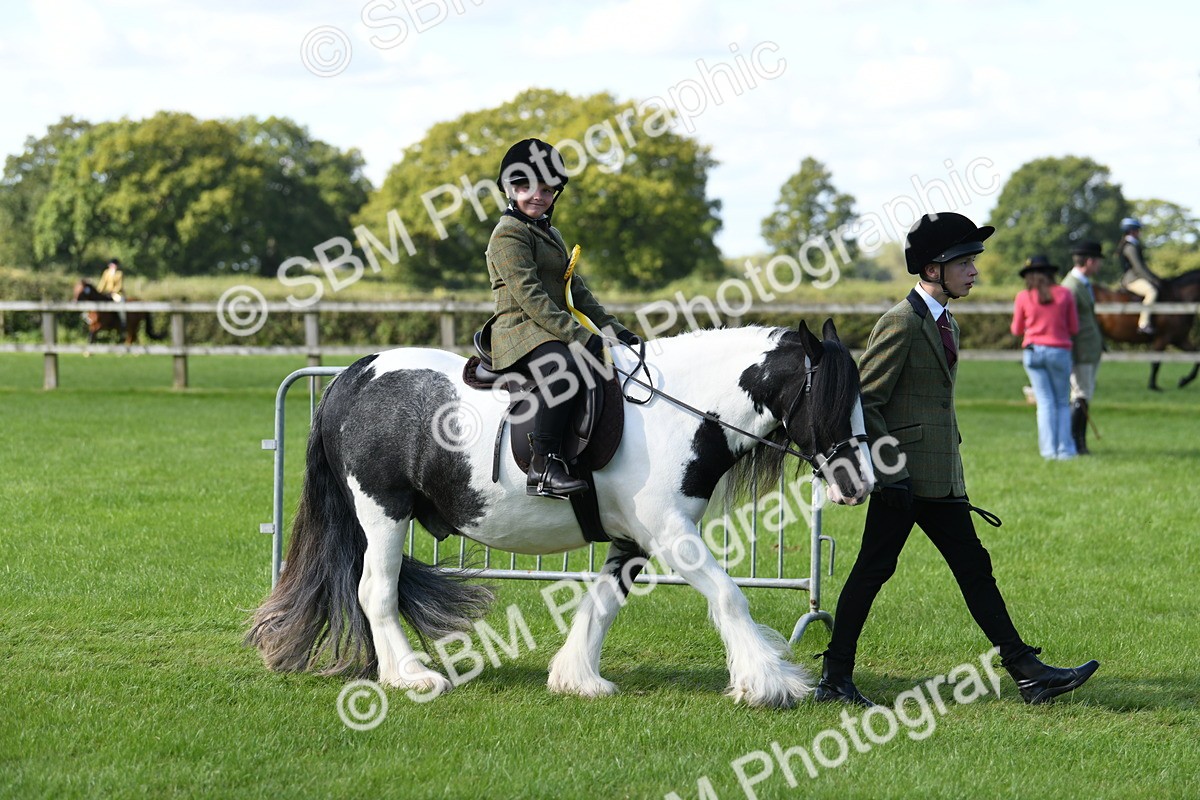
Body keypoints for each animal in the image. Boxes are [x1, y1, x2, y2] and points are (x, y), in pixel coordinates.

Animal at [246, 319, 876, 709]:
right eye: (833, 401)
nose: (861, 484)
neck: (679, 411)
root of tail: (353, 376)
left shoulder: (635, 540)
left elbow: (601, 605)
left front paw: (577, 678)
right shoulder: (672, 534)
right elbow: (729, 596)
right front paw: (767, 682)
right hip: (383, 510)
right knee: (374, 591)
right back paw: (410, 676)